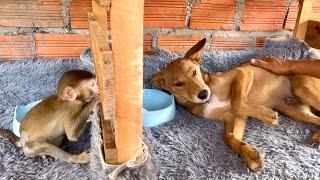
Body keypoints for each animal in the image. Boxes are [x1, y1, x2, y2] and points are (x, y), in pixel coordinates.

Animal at [151, 38, 320, 171]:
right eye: (178, 84)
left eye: (194, 72)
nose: (203, 94)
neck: (209, 98)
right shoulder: (235, 117)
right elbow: (229, 137)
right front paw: (250, 155)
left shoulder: (243, 73)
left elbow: (237, 102)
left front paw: (267, 115)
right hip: (294, 111)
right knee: (317, 119)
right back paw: (317, 136)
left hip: (302, 88)